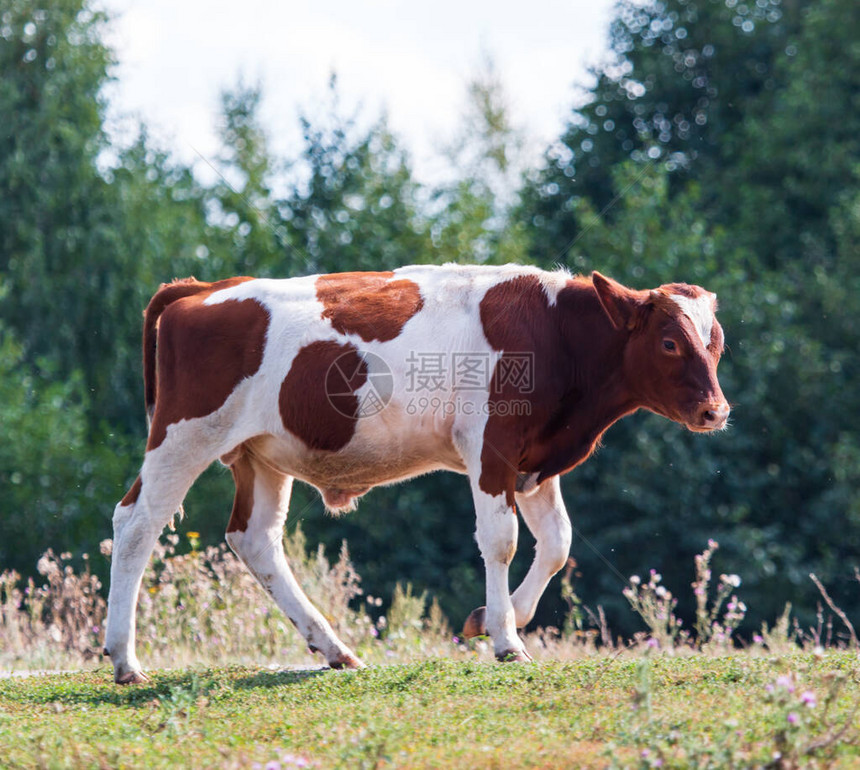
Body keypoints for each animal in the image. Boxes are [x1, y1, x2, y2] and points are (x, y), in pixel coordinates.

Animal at [104, 262, 728, 680]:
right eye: (670, 343)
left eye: (716, 343)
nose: (716, 411)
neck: (554, 332)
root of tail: (202, 289)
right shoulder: (491, 448)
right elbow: (501, 540)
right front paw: (506, 639)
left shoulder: (537, 459)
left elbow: (557, 543)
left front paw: (492, 618)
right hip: (183, 437)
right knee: (135, 525)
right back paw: (125, 658)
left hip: (261, 455)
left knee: (255, 539)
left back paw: (333, 648)